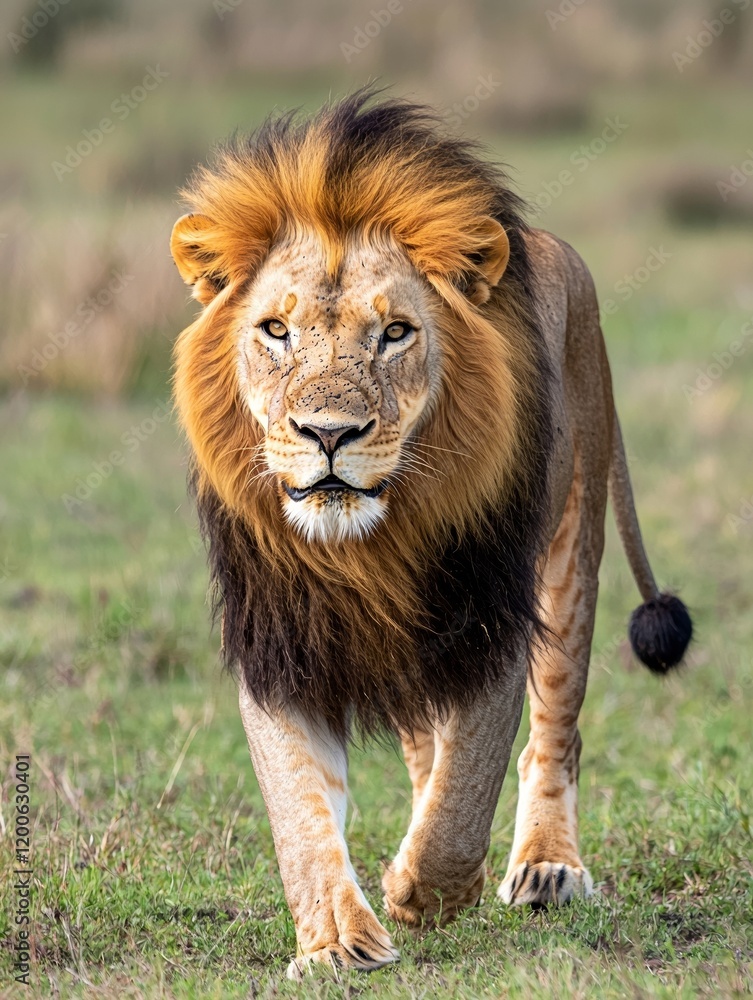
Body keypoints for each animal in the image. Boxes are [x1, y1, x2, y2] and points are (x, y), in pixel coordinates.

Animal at [169, 91, 692, 977]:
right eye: (274, 331)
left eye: (395, 333)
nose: (328, 434)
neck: (367, 547)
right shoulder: (279, 635)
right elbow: (299, 807)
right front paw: (335, 942)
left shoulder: (490, 617)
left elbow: (470, 779)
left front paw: (429, 892)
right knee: (425, 746)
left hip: (570, 549)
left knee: (552, 731)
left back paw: (545, 866)